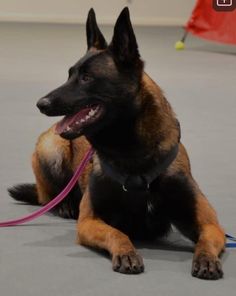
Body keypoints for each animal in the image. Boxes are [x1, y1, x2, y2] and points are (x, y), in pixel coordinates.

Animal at [9, 7, 226, 280]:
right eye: (69, 75)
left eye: (87, 77)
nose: (41, 104)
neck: (134, 156)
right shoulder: (89, 221)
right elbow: (117, 232)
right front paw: (126, 252)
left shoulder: (210, 223)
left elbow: (206, 239)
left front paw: (206, 258)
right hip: (52, 149)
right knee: (49, 197)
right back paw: (64, 205)